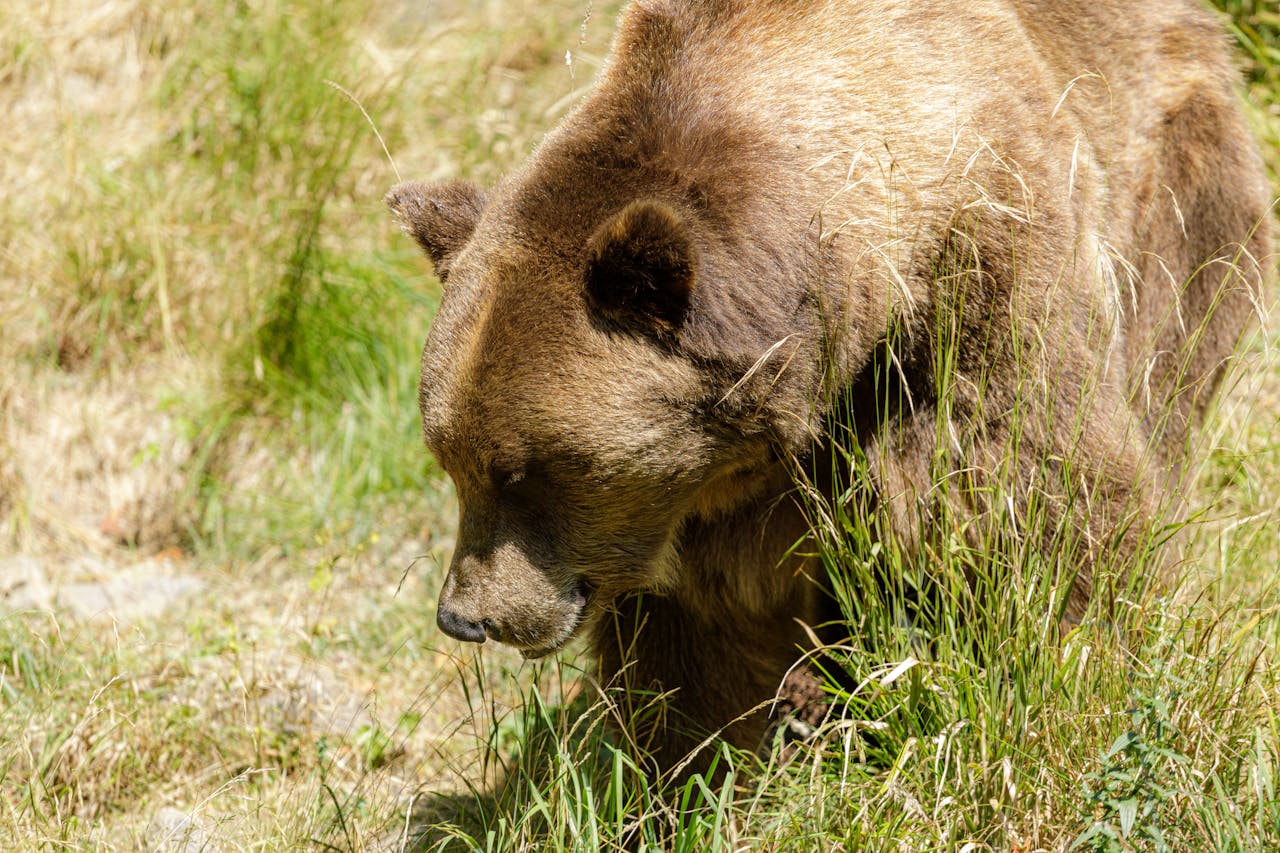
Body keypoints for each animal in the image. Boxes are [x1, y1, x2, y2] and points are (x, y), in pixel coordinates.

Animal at [388, 0, 1273, 777]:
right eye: (449, 458)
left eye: (522, 469)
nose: (465, 616)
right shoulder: (710, 478)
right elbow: (704, 627)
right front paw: (693, 765)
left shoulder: (982, 265)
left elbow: (1027, 492)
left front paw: (1047, 666)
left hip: (1177, 204)